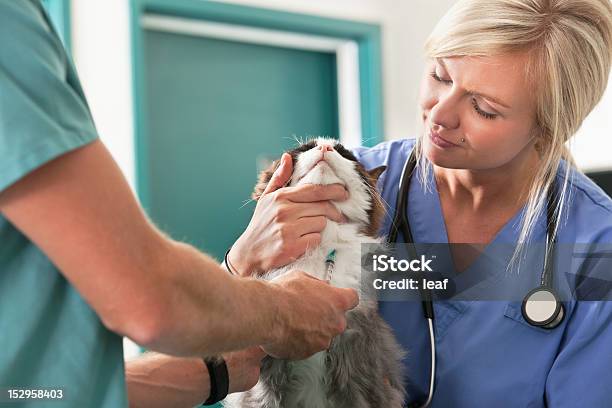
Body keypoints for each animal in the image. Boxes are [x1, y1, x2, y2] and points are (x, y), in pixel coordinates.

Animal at [225, 138, 406, 408]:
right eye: (306, 148)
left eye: (344, 153)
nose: (325, 148)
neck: (322, 245)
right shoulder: (263, 387)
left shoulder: (360, 370)